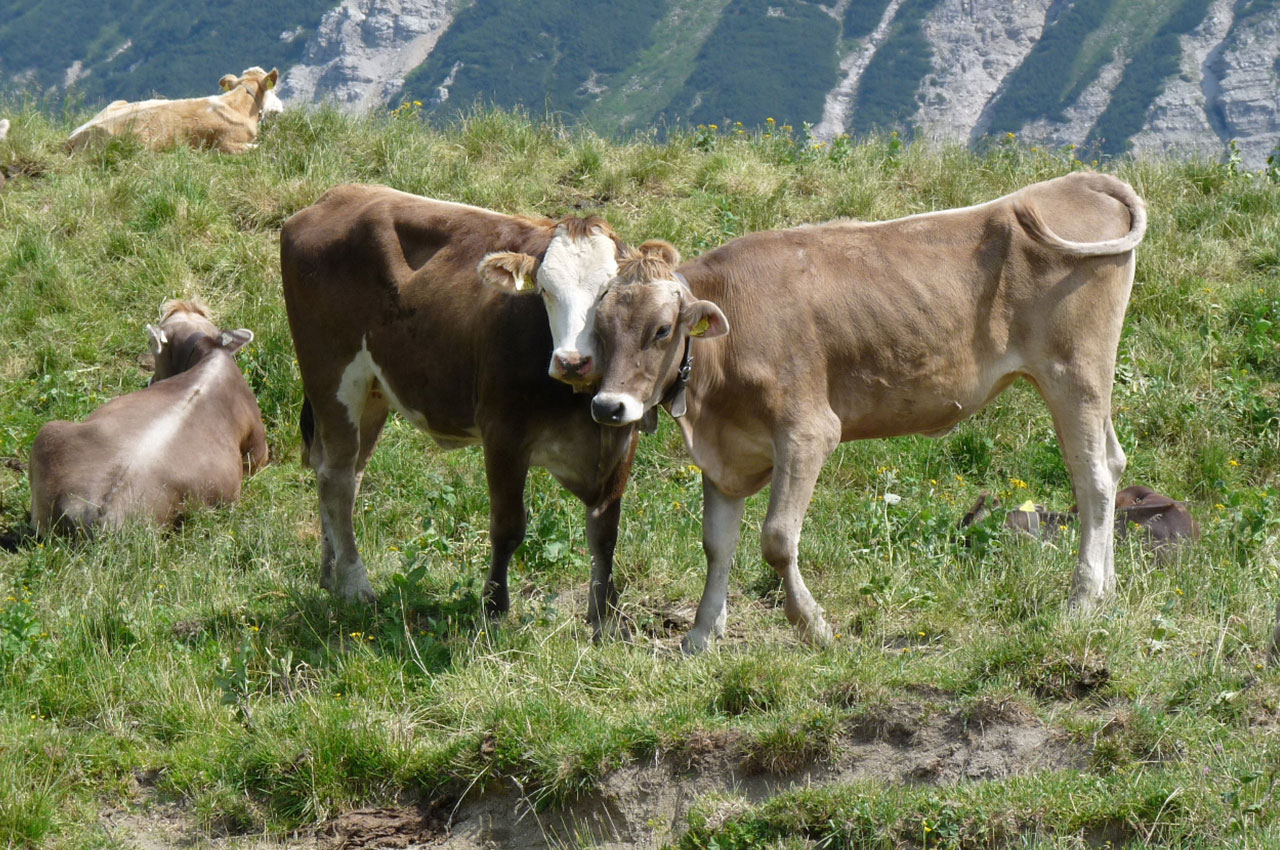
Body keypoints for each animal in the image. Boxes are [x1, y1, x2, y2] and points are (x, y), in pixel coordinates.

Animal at [66, 67, 282, 153]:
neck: (239, 104)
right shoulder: (226, 144)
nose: (280, 108)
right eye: (274, 89)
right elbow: (262, 148)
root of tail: (73, 135)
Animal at [588, 172, 1152, 650]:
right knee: (1113, 464)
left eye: (662, 330)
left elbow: (777, 539)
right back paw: (1108, 592)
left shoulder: (808, 432)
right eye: (600, 327)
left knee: (1093, 478)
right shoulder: (727, 454)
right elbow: (716, 545)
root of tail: (1077, 180)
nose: (608, 406)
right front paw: (701, 636)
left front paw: (813, 626)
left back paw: (1083, 598)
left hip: (1074, 371)